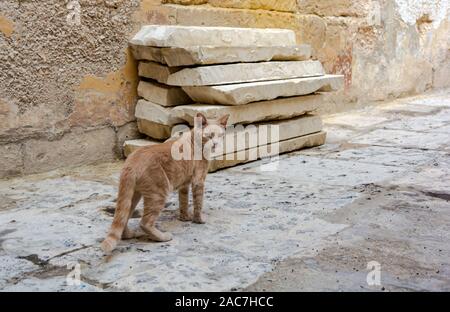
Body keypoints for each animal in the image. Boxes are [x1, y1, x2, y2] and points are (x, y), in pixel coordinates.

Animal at [102, 112, 229, 254]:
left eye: (220, 135)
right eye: (209, 136)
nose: (215, 144)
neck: (195, 141)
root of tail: (131, 161)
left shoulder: (184, 184)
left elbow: (183, 202)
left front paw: (185, 217)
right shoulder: (198, 181)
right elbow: (198, 203)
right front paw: (199, 220)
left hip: (133, 196)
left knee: (123, 218)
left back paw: (130, 234)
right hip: (159, 193)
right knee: (144, 222)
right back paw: (162, 237)